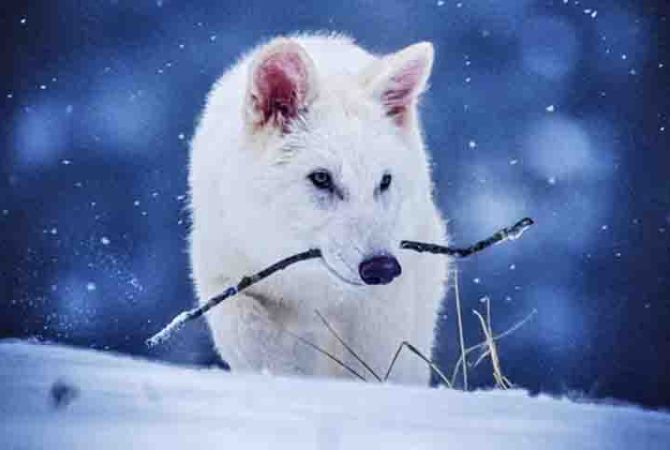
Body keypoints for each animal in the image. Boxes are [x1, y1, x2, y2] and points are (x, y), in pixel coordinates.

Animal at [189, 33, 448, 384]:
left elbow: (373, 368)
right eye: (321, 178)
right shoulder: (222, 277)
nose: (382, 268)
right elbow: (251, 338)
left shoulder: (380, 305)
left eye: (384, 181)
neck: (309, 281)